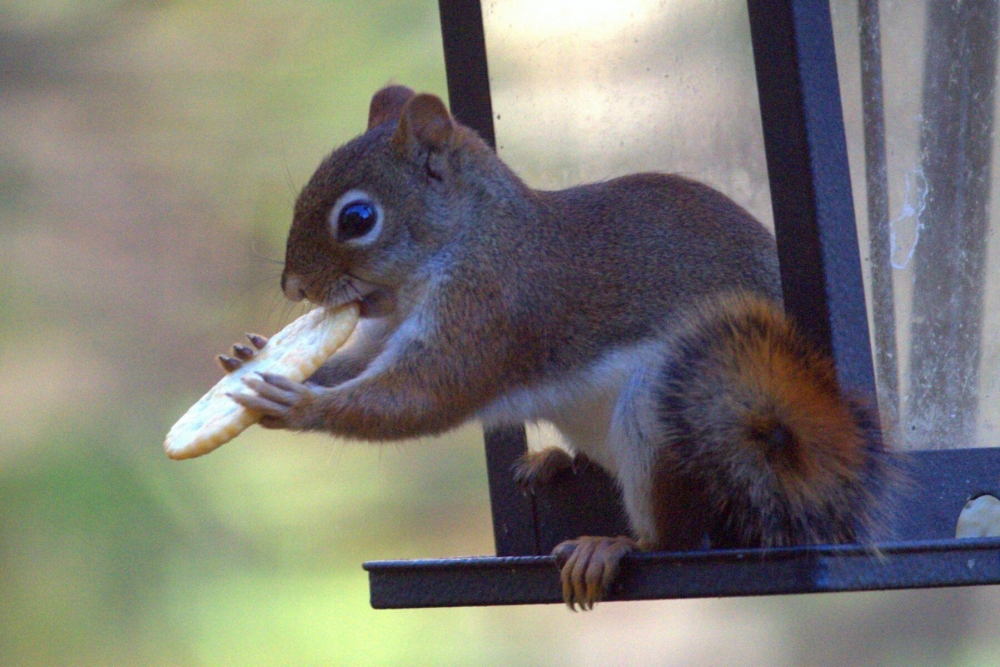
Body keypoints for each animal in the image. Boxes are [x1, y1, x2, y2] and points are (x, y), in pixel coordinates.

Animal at [227, 86, 892, 612]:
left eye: (358, 218)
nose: (294, 287)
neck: (467, 239)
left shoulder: (491, 310)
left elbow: (424, 397)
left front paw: (299, 406)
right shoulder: (385, 329)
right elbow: (358, 365)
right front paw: (249, 359)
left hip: (664, 414)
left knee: (677, 538)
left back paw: (614, 544)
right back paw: (553, 462)